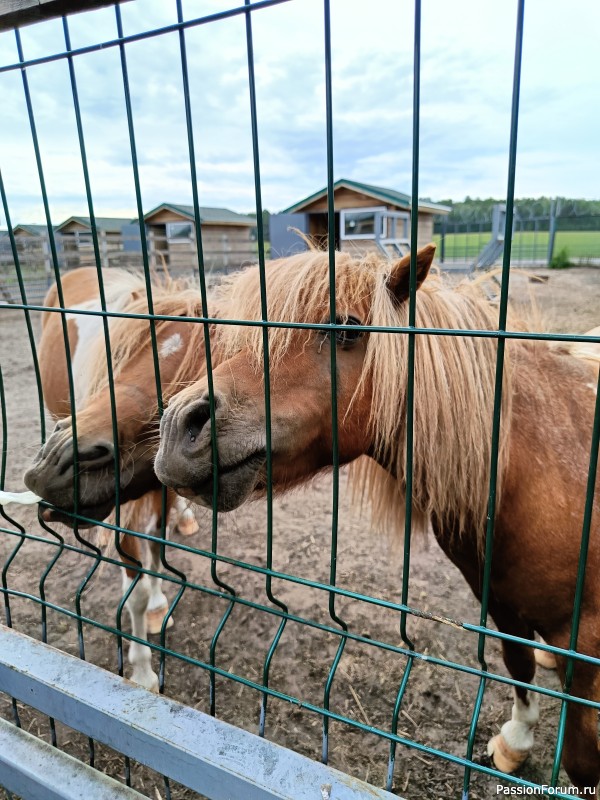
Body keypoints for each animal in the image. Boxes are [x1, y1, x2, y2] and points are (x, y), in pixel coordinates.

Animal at [24, 268, 216, 688]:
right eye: (124, 357)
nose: (57, 460)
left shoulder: (157, 490)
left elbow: (157, 553)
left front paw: (159, 605)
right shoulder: (122, 510)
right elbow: (135, 592)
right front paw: (143, 673)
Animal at [156, 248, 600, 788]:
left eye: (348, 329)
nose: (179, 427)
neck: (539, 467)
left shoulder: (586, 648)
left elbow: (581, 757)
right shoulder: (496, 599)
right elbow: (517, 664)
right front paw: (517, 739)